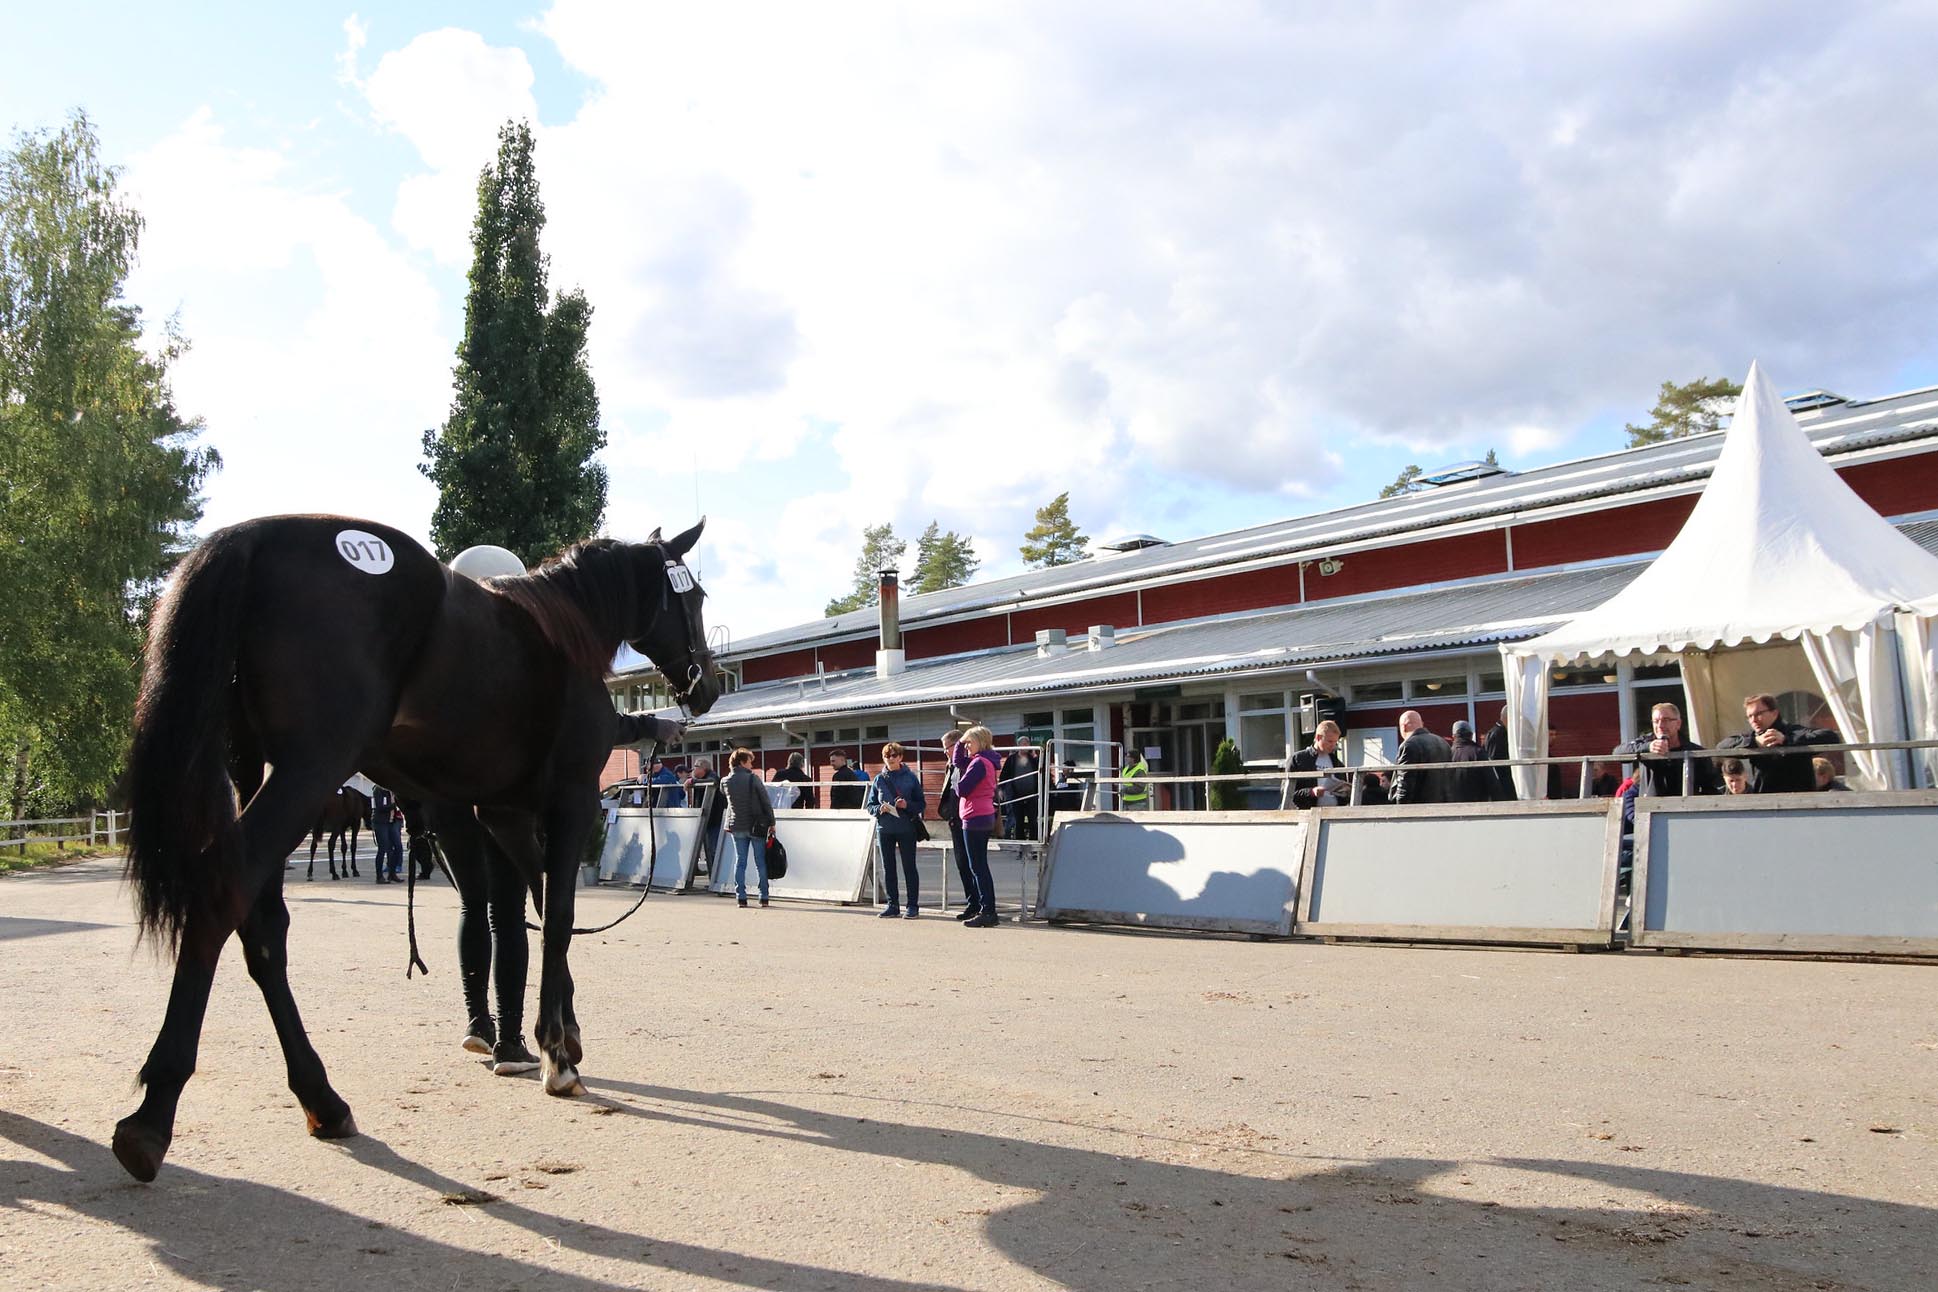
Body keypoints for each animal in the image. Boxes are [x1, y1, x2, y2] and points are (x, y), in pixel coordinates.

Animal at [115, 515, 720, 1185]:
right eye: (694, 598)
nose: (707, 686)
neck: (564, 633)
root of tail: (255, 536)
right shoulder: (571, 800)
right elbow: (558, 916)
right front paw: (556, 1052)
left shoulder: (505, 813)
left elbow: (540, 908)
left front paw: (565, 1031)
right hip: (306, 770)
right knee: (223, 901)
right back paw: (153, 1114)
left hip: (253, 769)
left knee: (263, 928)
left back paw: (322, 1098)